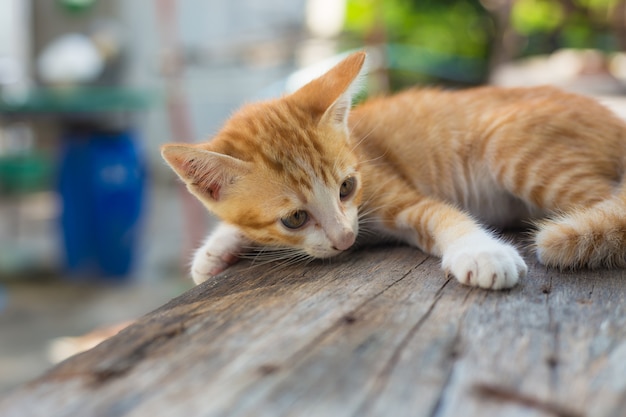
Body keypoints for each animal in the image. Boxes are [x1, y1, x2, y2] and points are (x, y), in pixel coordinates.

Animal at [162, 51, 624, 290]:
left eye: (347, 187)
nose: (345, 240)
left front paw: (482, 251)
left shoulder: (398, 195)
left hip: (509, 147)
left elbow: (445, 215)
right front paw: (215, 252)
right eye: (294, 218)